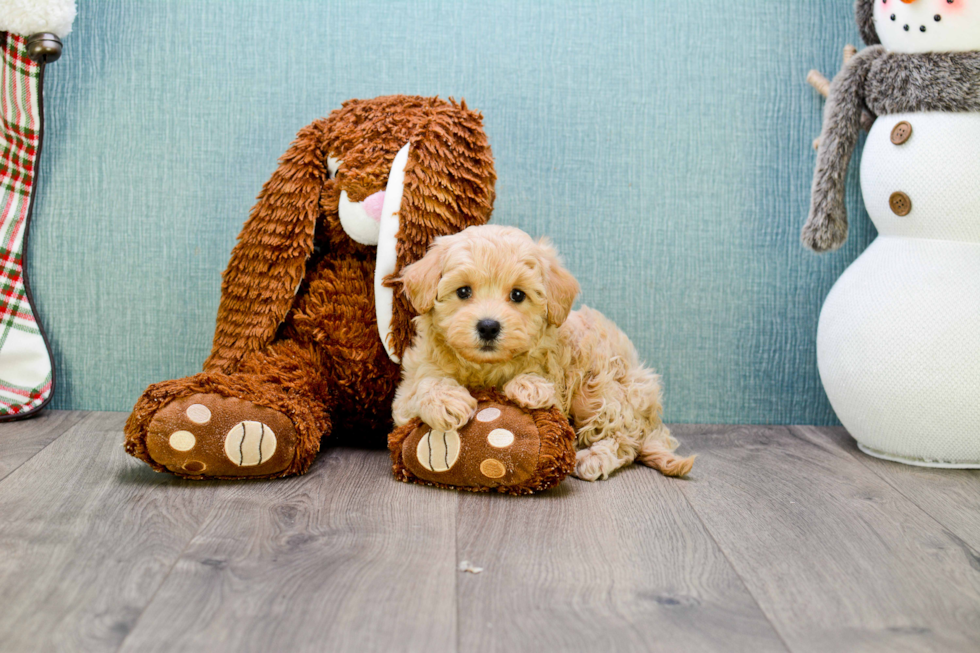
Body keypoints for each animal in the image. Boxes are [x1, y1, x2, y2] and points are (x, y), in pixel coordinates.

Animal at [392, 224, 696, 478]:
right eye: (463, 291)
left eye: (517, 295)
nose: (488, 327)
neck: (486, 368)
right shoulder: (406, 391)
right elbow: (423, 385)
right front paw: (447, 401)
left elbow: (540, 382)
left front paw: (530, 386)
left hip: (606, 389)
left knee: (624, 439)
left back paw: (594, 458)